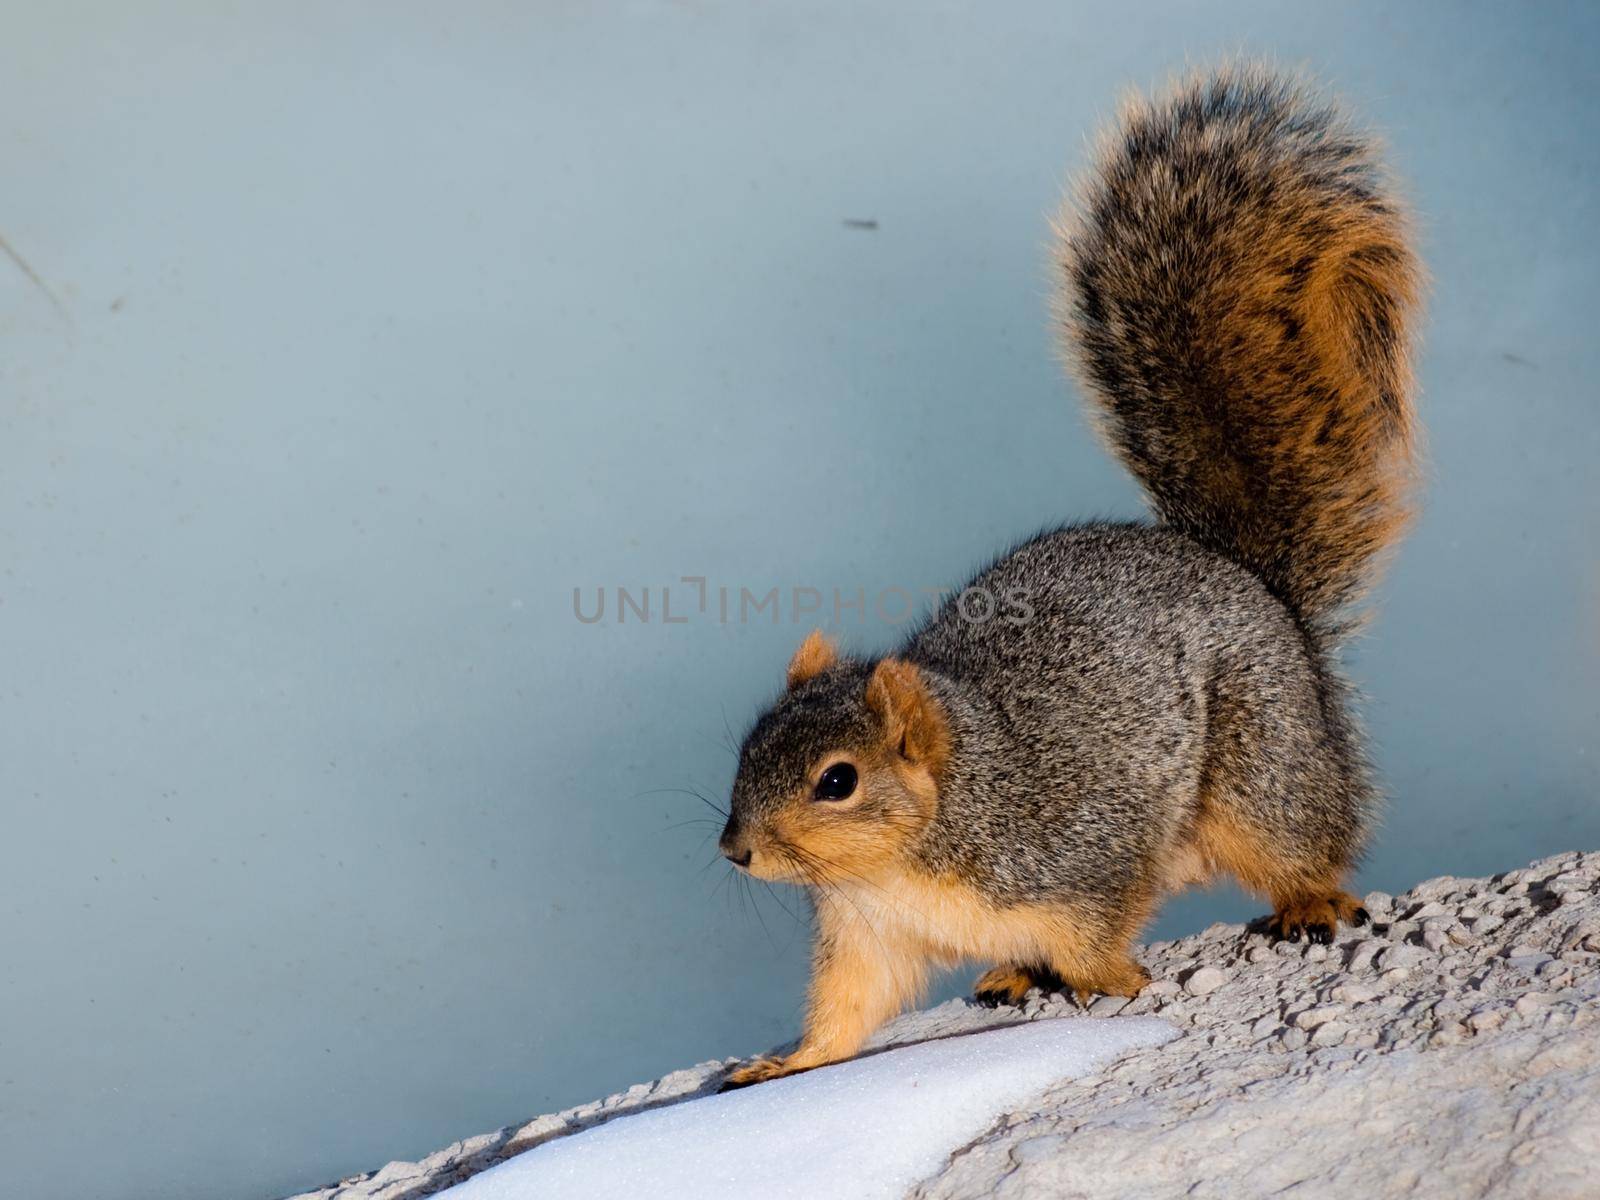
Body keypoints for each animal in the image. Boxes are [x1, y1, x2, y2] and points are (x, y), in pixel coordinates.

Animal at [720, 68, 1420, 1100]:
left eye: (836, 781)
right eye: (747, 746)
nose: (735, 850)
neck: (921, 842)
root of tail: (1248, 581)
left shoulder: (1083, 854)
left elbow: (1099, 931)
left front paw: (1120, 981)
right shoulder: (869, 934)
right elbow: (845, 1015)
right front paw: (779, 1065)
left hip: (1263, 765)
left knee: (1305, 841)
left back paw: (1308, 902)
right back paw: (1012, 973)